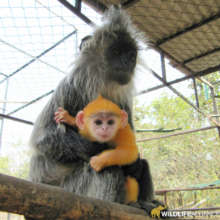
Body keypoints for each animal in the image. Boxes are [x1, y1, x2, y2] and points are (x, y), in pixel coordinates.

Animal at [27, 5, 162, 218]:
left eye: (131, 55)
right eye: (116, 52)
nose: (127, 63)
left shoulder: (123, 104)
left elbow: (132, 149)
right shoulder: (70, 88)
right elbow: (42, 140)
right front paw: (101, 148)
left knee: (142, 164)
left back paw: (145, 202)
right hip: (72, 188)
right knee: (108, 170)